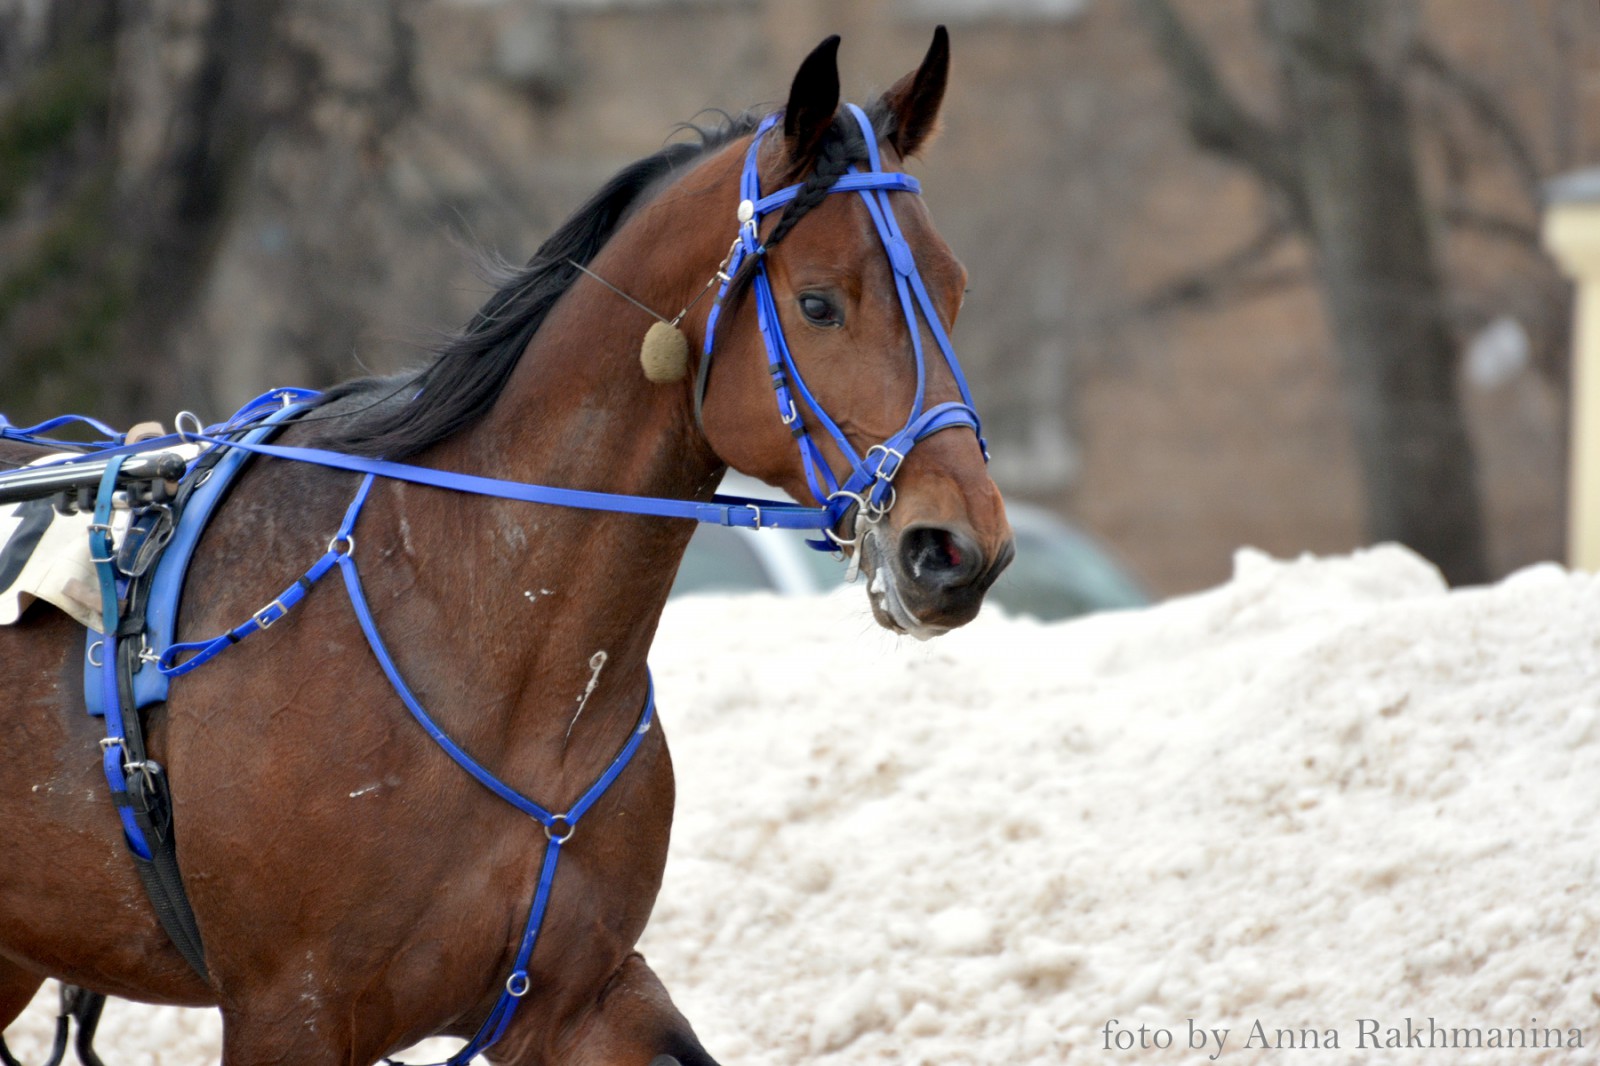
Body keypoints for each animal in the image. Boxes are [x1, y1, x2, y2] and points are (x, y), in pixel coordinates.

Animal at [0, 31, 1011, 1062]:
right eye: (817, 305)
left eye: (956, 290)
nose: (955, 550)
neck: (491, 639)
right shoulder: (290, 1007)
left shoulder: (580, 998)